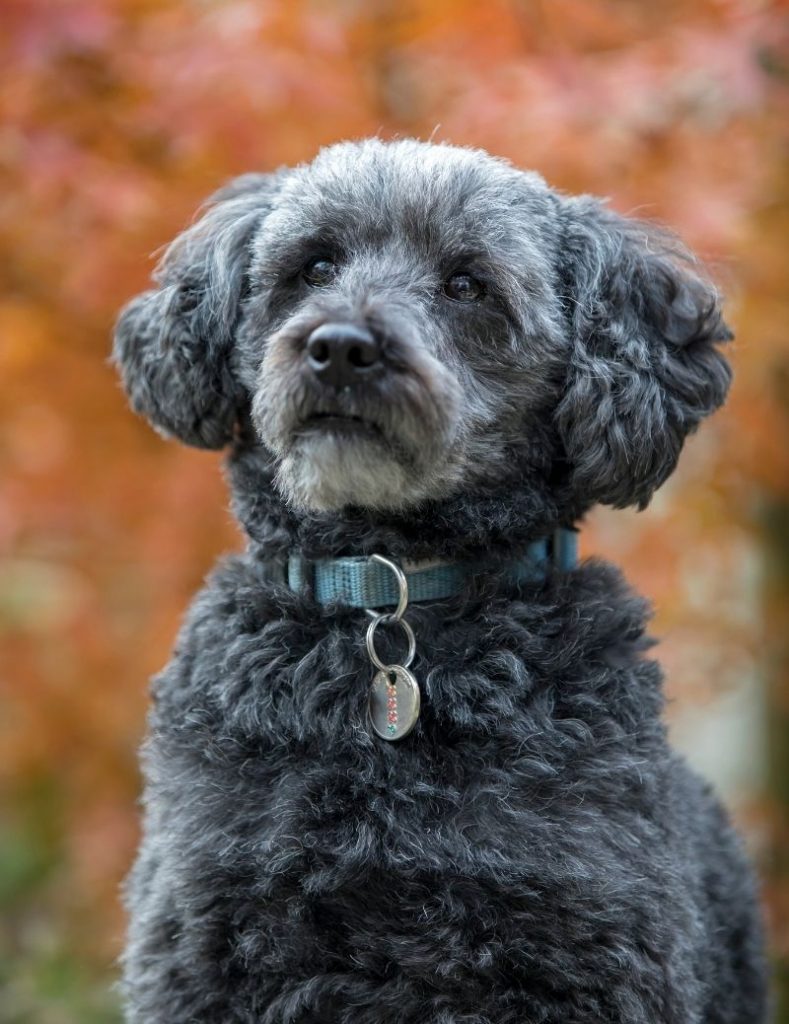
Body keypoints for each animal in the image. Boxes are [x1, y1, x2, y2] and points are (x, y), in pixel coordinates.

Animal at [114, 138, 769, 1024]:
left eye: (466, 285)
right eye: (315, 264)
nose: (340, 347)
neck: (390, 587)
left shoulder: (592, 954)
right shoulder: (198, 949)